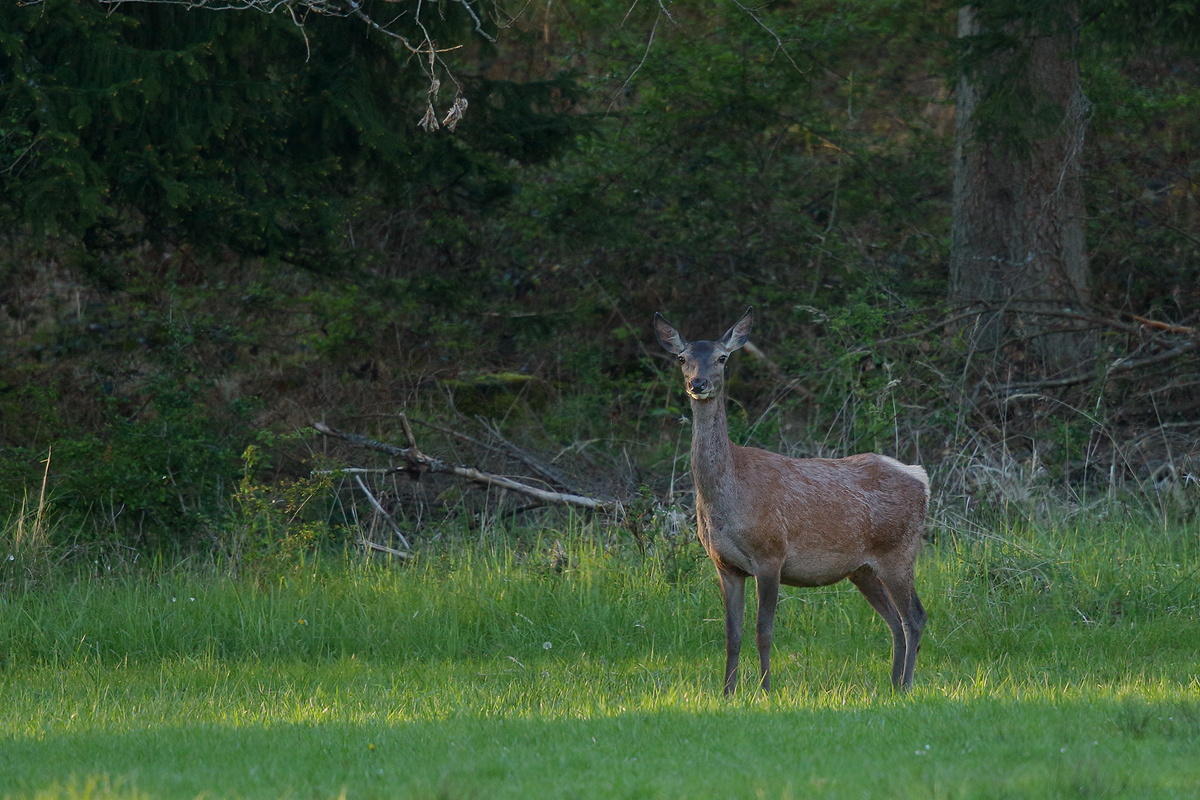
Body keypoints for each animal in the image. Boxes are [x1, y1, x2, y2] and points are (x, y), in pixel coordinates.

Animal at [657, 309, 926, 695]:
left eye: (722, 358)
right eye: (682, 358)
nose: (699, 383)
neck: (728, 499)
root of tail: (921, 478)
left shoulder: (771, 555)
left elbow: (763, 631)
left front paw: (765, 691)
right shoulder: (725, 565)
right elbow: (731, 635)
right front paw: (726, 693)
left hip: (899, 551)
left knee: (914, 616)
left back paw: (905, 686)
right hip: (862, 569)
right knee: (894, 620)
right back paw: (892, 685)